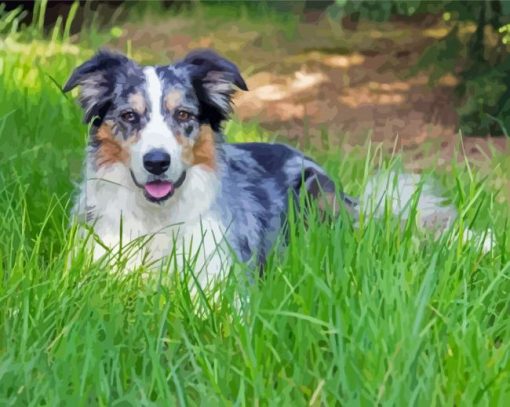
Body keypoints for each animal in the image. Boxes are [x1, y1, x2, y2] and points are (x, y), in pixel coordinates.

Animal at [63, 48, 494, 286]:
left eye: (183, 114)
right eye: (128, 116)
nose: (157, 162)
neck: (157, 218)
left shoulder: (219, 275)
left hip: (317, 196)